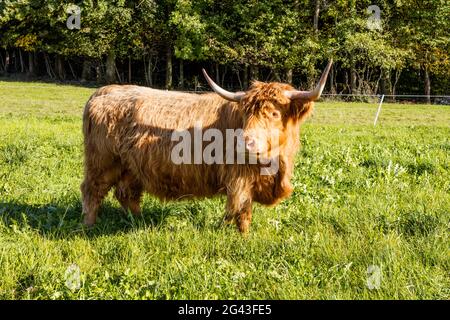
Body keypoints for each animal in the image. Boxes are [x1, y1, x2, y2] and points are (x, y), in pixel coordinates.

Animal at [81, 60, 332, 232]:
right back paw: (90, 226)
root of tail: (104, 91)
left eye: (274, 113)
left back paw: (139, 222)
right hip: (102, 162)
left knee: (126, 193)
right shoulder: (239, 179)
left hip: (130, 167)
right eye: (246, 114)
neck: (275, 166)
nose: (245, 142)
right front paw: (244, 237)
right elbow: (242, 210)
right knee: (92, 190)